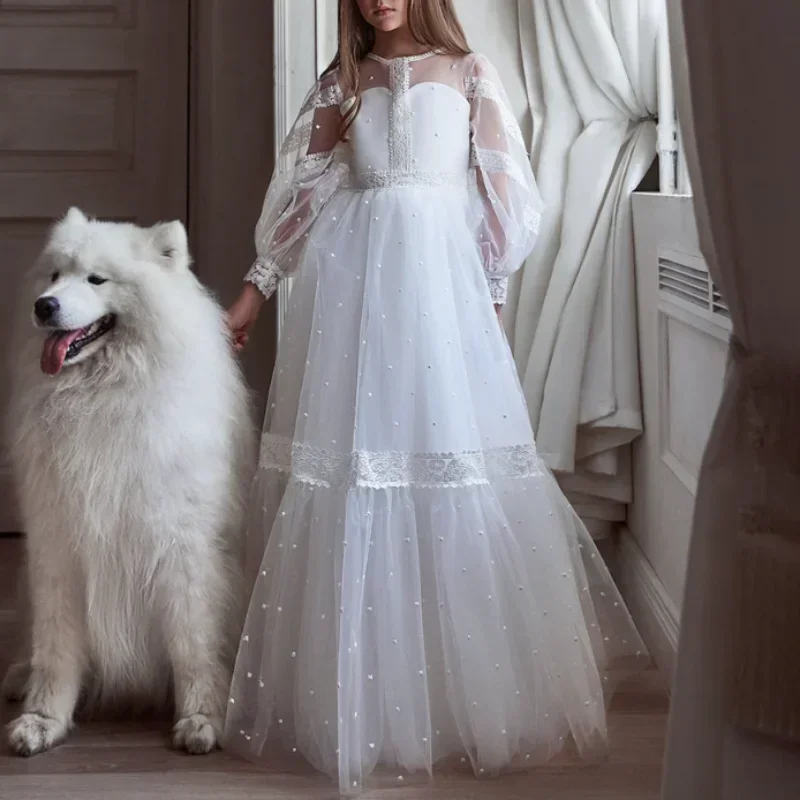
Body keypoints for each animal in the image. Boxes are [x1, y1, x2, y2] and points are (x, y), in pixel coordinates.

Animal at [3, 206, 253, 756]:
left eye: (97, 279)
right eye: (55, 275)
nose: (44, 306)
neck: (103, 394)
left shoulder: (185, 548)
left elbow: (194, 642)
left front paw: (202, 718)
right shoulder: (58, 545)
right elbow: (56, 647)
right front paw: (42, 719)